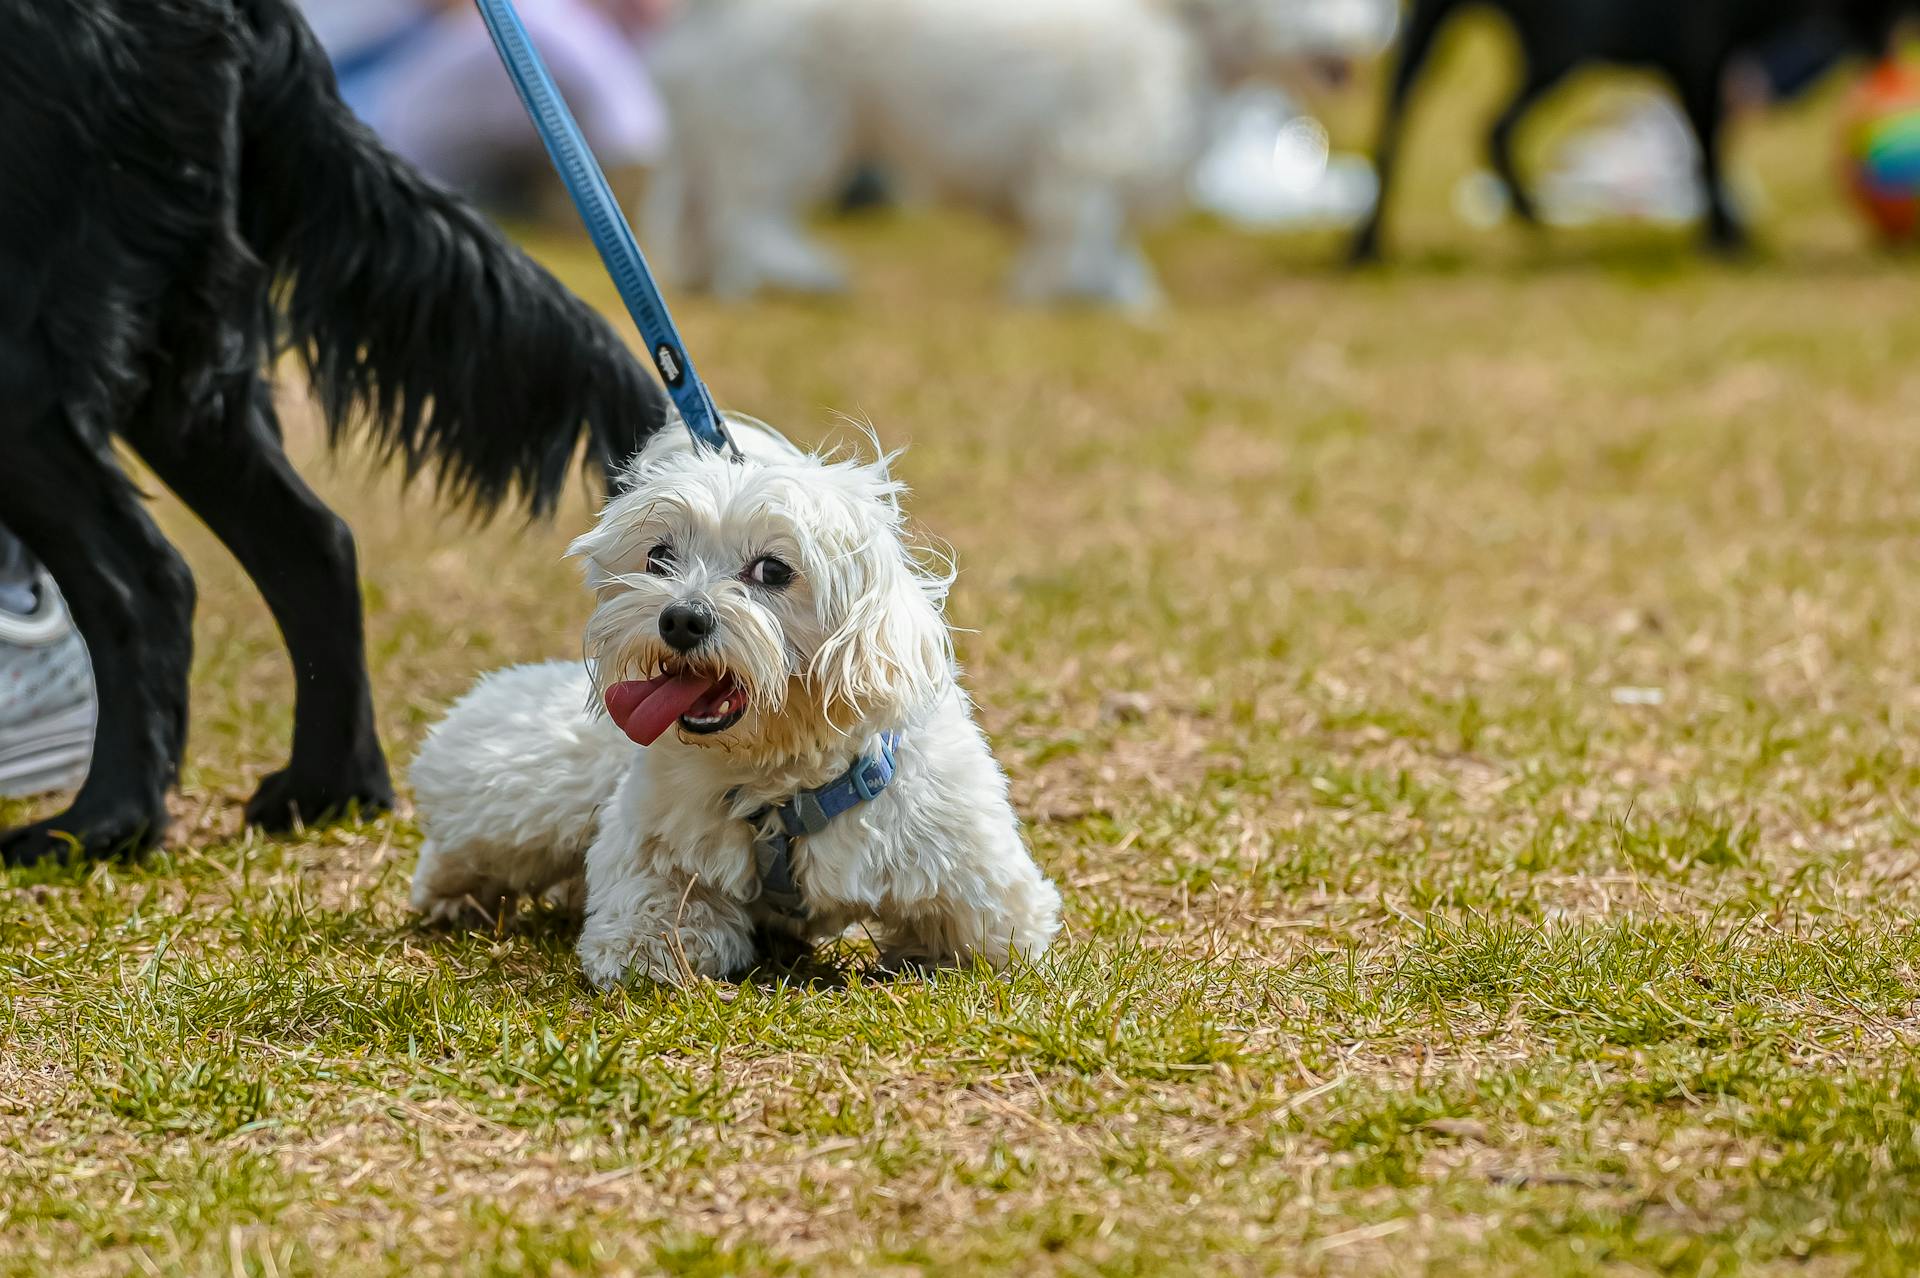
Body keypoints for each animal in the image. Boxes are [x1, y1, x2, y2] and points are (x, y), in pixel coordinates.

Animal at [0, 0, 672, 859]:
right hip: (183, 369)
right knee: (313, 546)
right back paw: (323, 792)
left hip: (31, 361)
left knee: (146, 582)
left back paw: (101, 825)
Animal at [408, 418, 1067, 982]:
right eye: (658, 557)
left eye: (773, 570)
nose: (681, 618)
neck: (781, 780)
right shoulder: (651, 846)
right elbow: (651, 920)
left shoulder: (979, 884)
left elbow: (991, 940)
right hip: (530, 791)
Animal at [645, 0, 1397, 307]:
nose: (1362, 41)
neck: (1190, 31)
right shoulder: (1095, 151)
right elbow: (1086, 231)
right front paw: (1094, 294)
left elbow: (1091, 236)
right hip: (795, 117)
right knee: (750, 210)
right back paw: (801, 272)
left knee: (705, 209)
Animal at [1351, 0, 1904, 260]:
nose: (1892, 56)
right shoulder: (1699, 62)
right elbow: (1709, 153)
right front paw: (1726, 238)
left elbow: (1711, 152)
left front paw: (1728, 232)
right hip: (1552, 49)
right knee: (1460, 128)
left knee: (1452, 124)